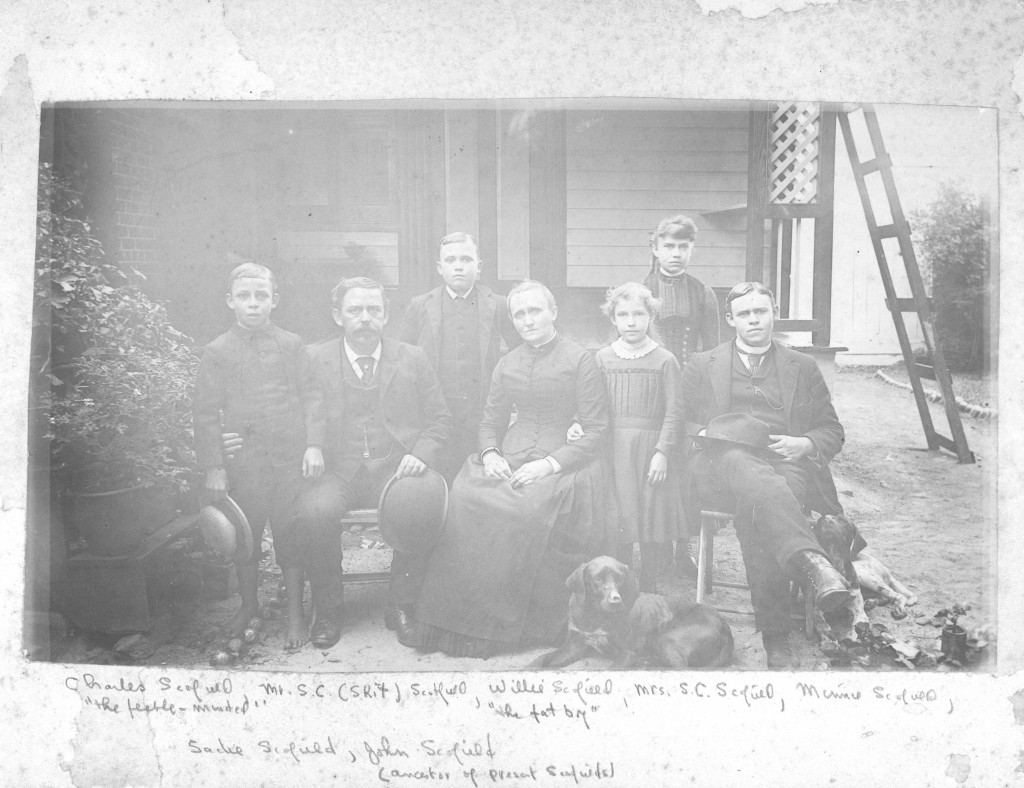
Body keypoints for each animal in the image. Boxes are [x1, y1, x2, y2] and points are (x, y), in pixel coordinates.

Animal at [528, 552, 737, 671]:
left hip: (666, 639)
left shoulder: (627, 654)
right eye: (597, 579)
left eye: (619, 578)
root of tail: (724, 624)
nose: (615, 600)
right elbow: (542, 658)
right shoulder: (575, 644)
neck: (595, 615)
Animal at [811, 511, 925, 642]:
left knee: (897, 595)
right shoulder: (817, 608)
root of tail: (884, 568)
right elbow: (820, 623)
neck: (837, 561)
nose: (822, 517)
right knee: (885, 597)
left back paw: (898, 608)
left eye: (841, 519)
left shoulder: (859, 613)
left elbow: (856, 631)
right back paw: (871, 602)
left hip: (867, 578)